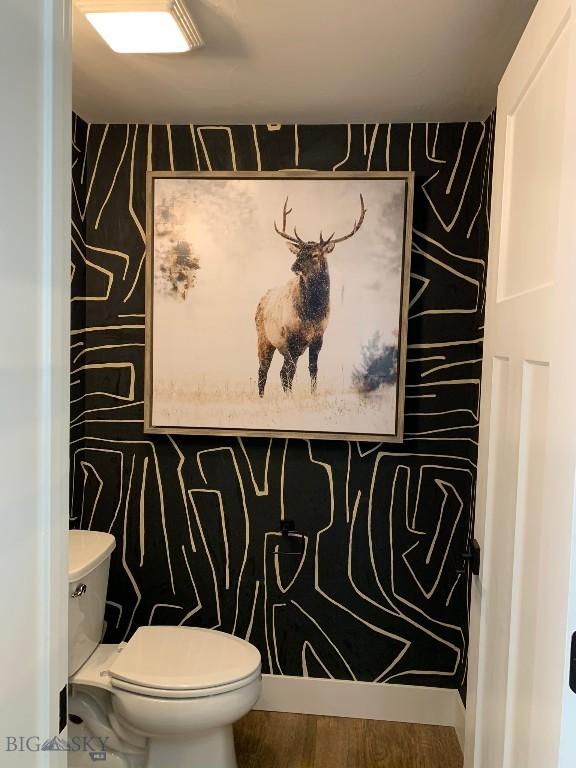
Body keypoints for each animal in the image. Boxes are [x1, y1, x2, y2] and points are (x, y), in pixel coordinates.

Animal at [254, 194, 366, 396]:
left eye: (314, 255)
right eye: (298, 252)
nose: (294, 266)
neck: (312, 313)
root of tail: (262, 299)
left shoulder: (318, 337)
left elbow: (313, 369)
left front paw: (313, 395)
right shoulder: (290, 337)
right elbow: (289, 372)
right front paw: (290, 398)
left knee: (280, 371)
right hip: (264, 338)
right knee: (265, 371)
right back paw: (262, 397)